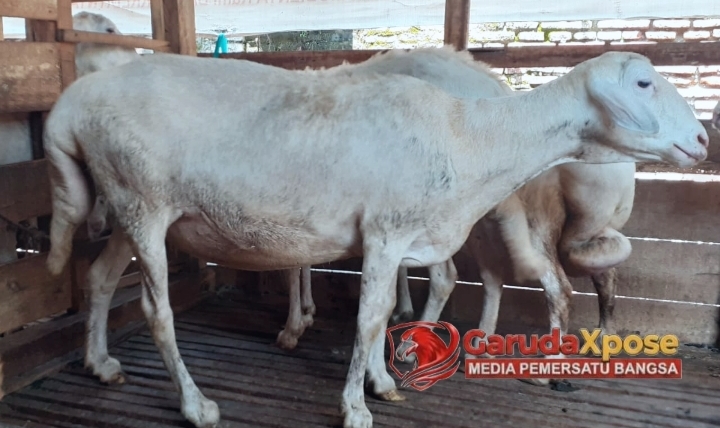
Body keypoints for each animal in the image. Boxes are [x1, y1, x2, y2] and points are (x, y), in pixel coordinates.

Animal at [43, 49, 708, 428]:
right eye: (643, 84)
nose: (703, 141)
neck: (468, 136)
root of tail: (69, 105)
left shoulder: (399, 237)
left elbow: (388, 309)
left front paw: (384, 383)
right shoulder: (385, 233)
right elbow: (368, 320)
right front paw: (356, 406)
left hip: (126, 209)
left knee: (99, 278)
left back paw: (101, 364)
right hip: (143, 202)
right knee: (157, 311)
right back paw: (196, 406)